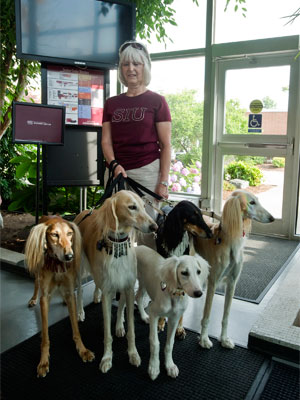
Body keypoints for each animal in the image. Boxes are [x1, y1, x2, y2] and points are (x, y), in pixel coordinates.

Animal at [24, 217, 95, 376]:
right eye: (54, 235)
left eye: (70, 234)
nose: (69, 256)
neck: (56, 262)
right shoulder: (45, 297)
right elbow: (45, 336)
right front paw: (44, 361)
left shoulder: (70, 292)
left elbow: (76, 329)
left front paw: (83, 350)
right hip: (38, 272)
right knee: (36, 283)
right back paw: (32, 299)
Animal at [74, 189, 157, 374]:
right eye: (132, 207)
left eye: (143, 206)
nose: (154, 227)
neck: (118, 245)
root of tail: (85, 211)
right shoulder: (108, 292)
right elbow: (107, 333)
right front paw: (107, 358)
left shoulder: (127, 287)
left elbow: (127, 322)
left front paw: (133, 353)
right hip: (79, 268)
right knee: (79, 290)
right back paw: (80, 311)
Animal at [131, 245, 209, 380]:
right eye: (184, 273)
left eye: (198, 272)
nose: (199, 293)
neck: (175, 295)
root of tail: (137, 247)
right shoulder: (154, 313)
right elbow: (155, 342)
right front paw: (154, 367)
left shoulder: (174, 318)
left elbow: (169, 344)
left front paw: (169, 365)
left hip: (144, 283)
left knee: (138, 297)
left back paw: (143, 316)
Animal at [195, 189, 274, 348]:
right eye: (252, 202)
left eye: (257, 200)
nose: (272, 218)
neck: (228, 241)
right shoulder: (213, 282)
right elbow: (207, 315)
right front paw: (204, 339)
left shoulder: (232, 282)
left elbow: (226, 316)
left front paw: (224, 339)